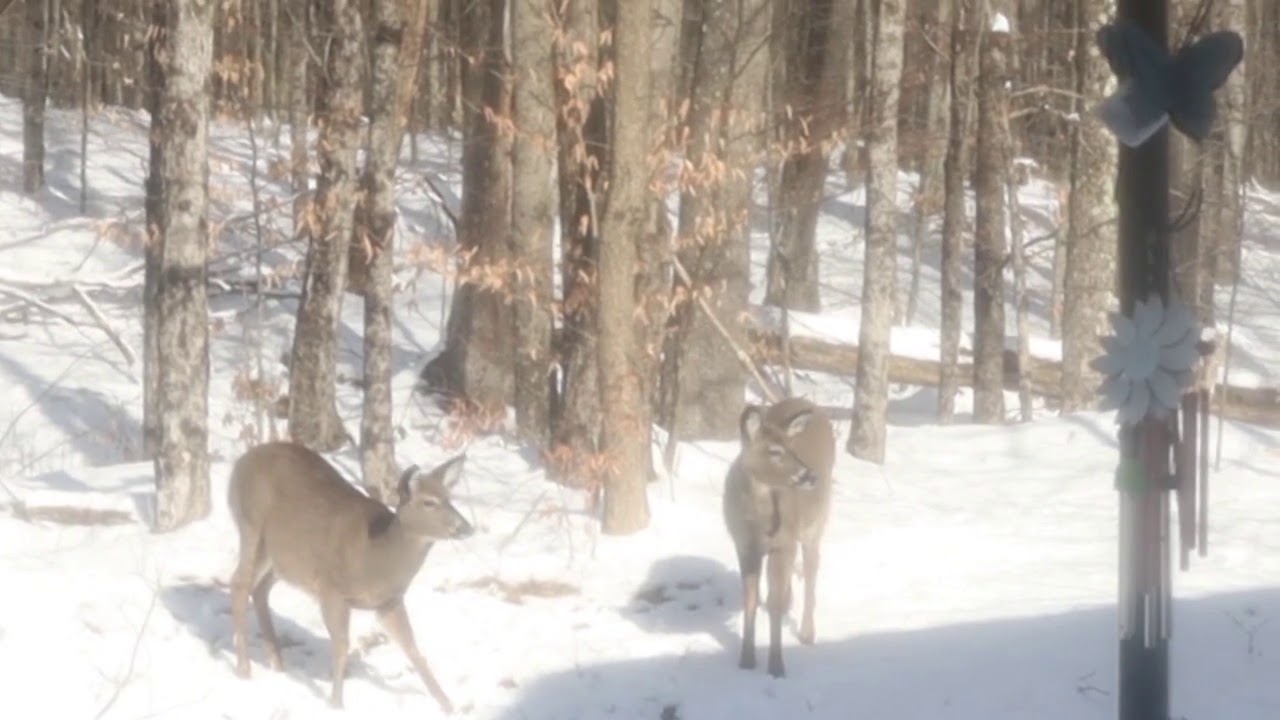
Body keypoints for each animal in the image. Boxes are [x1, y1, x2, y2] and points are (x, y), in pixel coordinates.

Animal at [226, 441, 474, 713]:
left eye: (450, 498)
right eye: (429, 502)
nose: (466, 528)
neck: (376, 558)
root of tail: (242, 461)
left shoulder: (389, 603)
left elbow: (413, 649)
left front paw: (448, 704)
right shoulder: (331, 590)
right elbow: (342, 646)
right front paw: (336, 703)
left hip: (281, 558)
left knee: (259, 589)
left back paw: (278, 663)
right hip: (251, 526)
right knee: (239, 584)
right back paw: (244, 669)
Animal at [722, 397, 836, 678]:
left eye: (792, 448)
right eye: (775, 451)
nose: (811, 476)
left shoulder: (783, 542)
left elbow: (772, 602)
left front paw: (776, 664)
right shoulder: (743, 545)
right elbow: (751, 600)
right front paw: (746, 658)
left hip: (815, 522)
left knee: (811, 570)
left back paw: (807, 633)